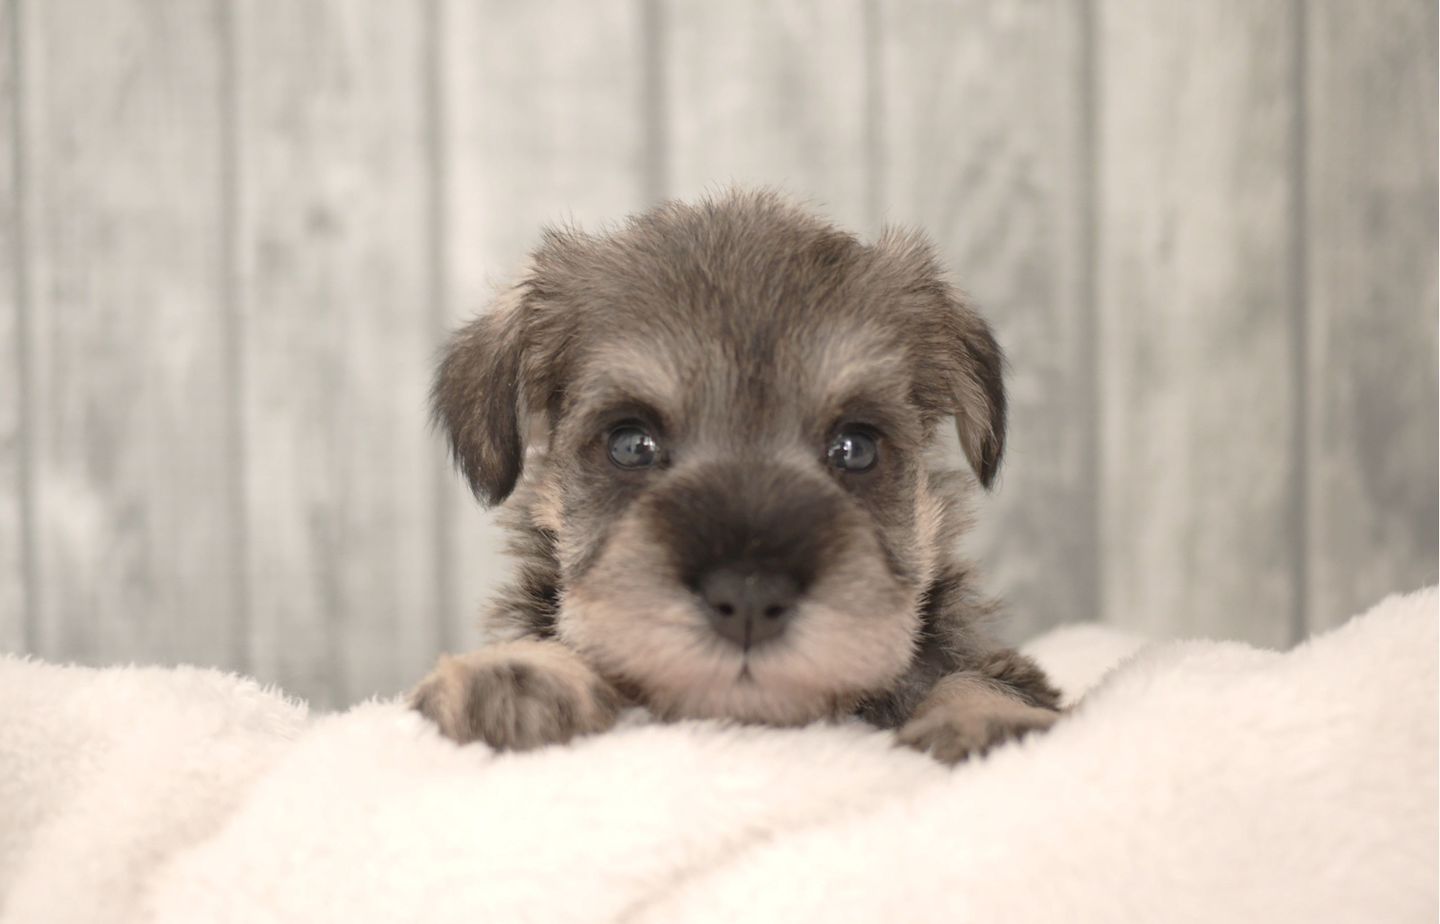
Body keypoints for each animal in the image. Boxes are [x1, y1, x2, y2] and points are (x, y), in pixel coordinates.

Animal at [411, 188, 1065, 759]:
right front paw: (515, 672)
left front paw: (989, 720)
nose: (750, 598)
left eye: (855, 448)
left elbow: (984, 677)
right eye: (631, 444)